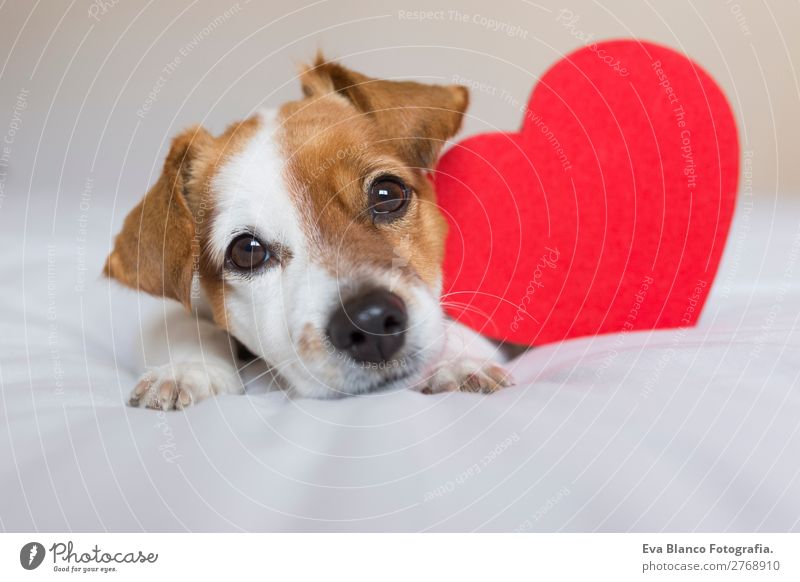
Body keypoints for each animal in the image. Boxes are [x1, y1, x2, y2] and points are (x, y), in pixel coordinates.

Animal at [104, 56, 512, 410]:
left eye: (388, 194)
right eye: (247, 251)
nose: (371, 320)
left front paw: (455, 361)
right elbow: (179, 324)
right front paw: (189, 370)